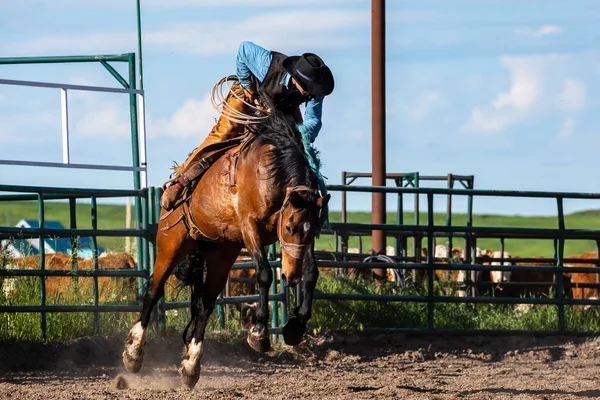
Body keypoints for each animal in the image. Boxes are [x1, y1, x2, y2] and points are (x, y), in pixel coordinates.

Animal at [120, 108, 330, 388]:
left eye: (314, 229)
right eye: (288, 227)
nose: (290, 276)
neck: (271, 172)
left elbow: (312, 274)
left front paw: (296, 326)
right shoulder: (249, 226)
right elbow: (264, 274)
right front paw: (259, 332)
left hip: (222, 254)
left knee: (205, 306)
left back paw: (191, 366)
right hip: (171, 244)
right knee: (154, 290)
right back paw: (134, 354)